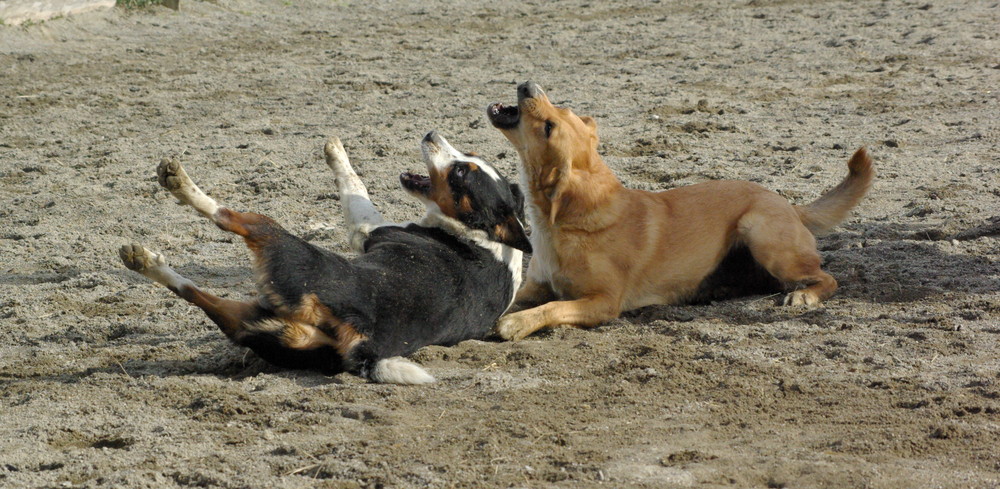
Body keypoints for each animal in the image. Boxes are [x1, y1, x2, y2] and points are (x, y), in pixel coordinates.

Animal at [119, 132, 532, 384]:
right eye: (469, 157)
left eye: (461, 171)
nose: (432, 134)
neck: (478, 235)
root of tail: (364, 336)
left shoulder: (366, 230)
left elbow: (356, 188)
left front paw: (336, 151)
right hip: (259, 324)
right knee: (194, 293)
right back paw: (144, 260)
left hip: (283, 247)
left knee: (231, 219)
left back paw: (179, 183)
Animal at [488, 81, 872, 340]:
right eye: (561, 113)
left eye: (551, 125)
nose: (528, 85)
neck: (560, 225)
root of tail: (789, 204)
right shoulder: (536, 287)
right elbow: (521, 297)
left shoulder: (602, 302)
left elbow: (552, 307)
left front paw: (516, 323)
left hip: (761, 233)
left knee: (826, 278)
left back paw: (804, 295)